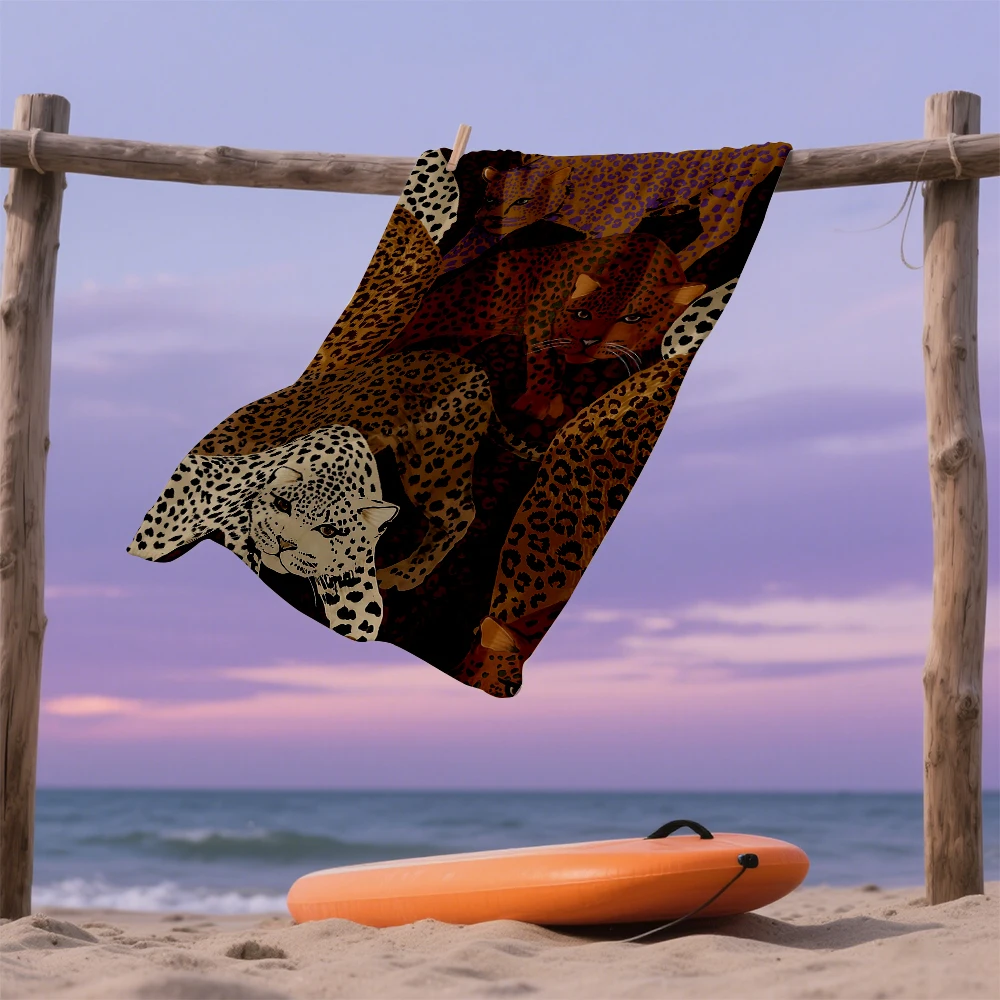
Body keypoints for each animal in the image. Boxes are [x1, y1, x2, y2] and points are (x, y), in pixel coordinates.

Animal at [441, 143, 791, 274]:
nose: (490, 216)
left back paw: (680, 258)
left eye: (524, 200)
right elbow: (459, 251)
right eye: (490, 199)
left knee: (722, 229)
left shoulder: (617, 221)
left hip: (722, 194)